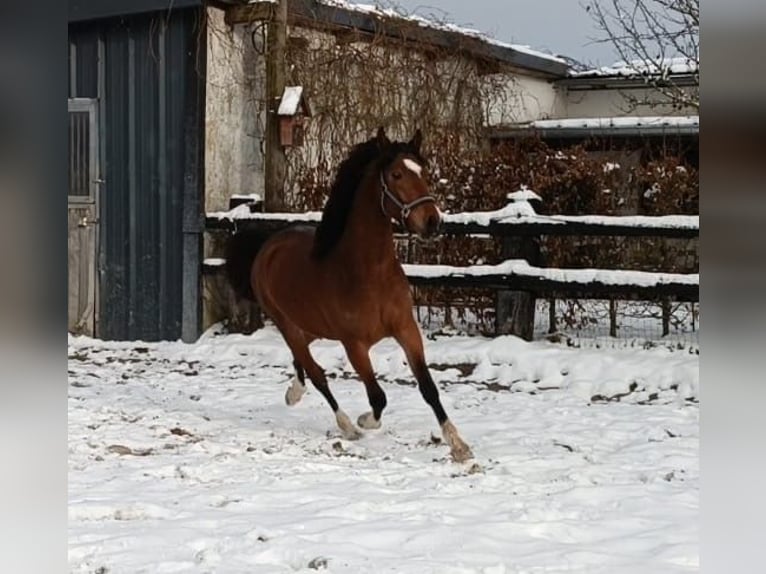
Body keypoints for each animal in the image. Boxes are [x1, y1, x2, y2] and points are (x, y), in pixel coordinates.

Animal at [224, 128, 474, 466]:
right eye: (396, 174)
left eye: (424, 171)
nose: (432, 222)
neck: (370, 273)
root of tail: (268, 245)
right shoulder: (354, 345)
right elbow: (378, 397)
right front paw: (364, 421)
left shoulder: (407, 330)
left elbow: (428, 388)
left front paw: (459, 445)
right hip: (286, 324)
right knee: (316, 373)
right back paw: (345, 425)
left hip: (310, 327)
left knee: (302, 361)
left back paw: (294, 393)